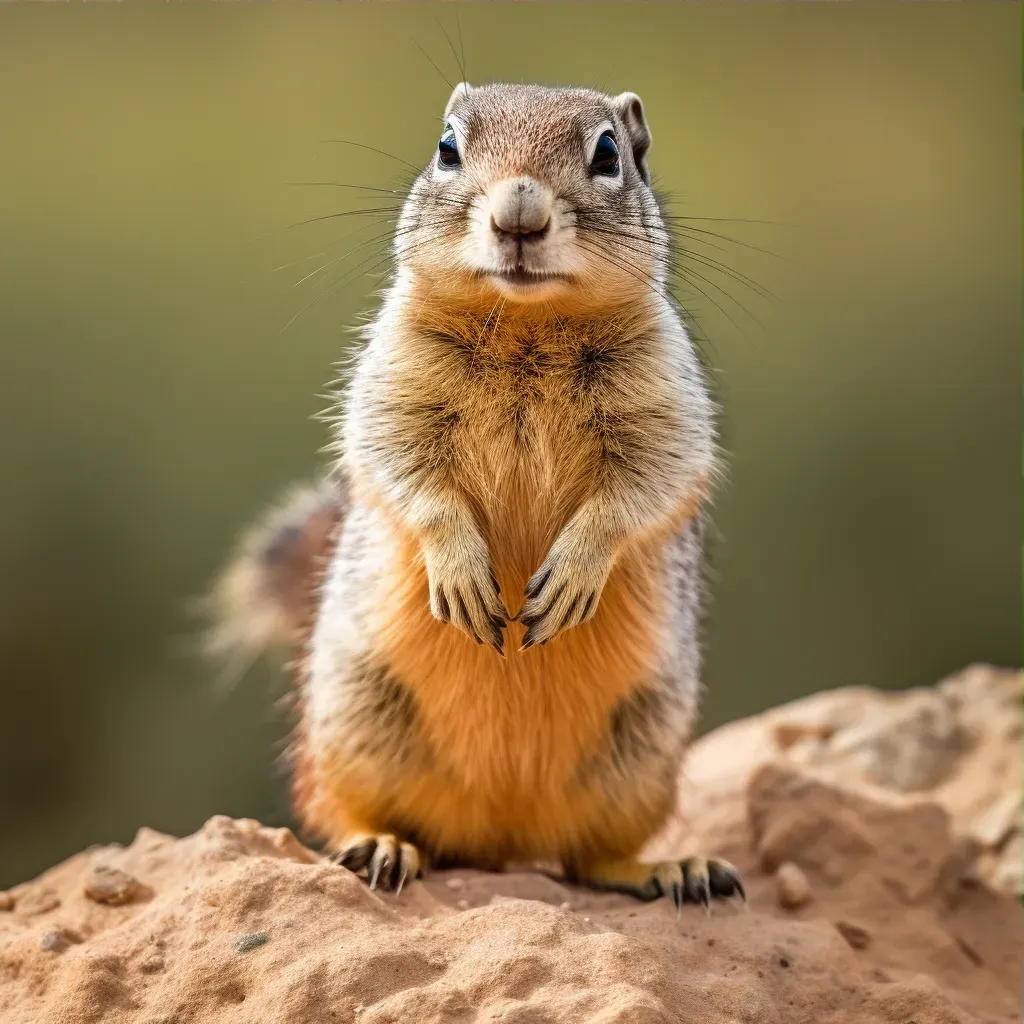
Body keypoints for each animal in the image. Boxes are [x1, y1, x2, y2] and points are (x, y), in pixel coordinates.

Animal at [209, 81, 745, 913]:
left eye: (608, 154)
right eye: (447, 148)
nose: (518, 213)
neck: (527, 322)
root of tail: (502, 841)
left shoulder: (669, 408)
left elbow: (643, 486)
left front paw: (573, 573)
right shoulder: (391, 385)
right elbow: (404, 470)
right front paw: (461, 571)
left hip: (641, 752)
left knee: (589, 858)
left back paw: (672, 869)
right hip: (354, 721)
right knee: (345, 814)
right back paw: (381, 846)